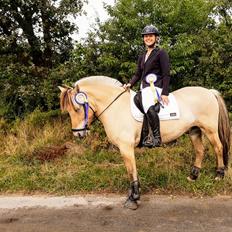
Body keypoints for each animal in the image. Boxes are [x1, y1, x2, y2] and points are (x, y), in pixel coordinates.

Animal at [59, 75, 230, 210]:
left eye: (77, 108)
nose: (78, 134)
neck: (116, 107)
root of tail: (209, 92)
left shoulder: (126, 148)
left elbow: (131, 171)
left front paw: (133, 198)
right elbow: (130, 171)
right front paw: (132, 195)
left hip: (210, 130)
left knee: (218, 147)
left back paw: (219, 175)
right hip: (194, 130)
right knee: (200, 150)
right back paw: (193, 177)